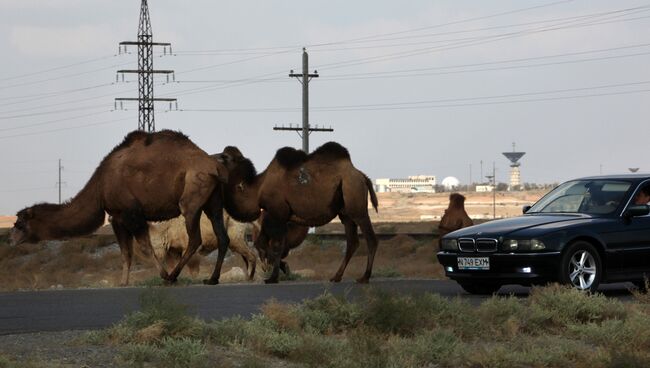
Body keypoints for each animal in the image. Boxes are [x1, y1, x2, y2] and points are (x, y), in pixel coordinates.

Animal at [9, 131, 230, 286]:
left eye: (19, 224)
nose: (11, 239)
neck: (100, 186)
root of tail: (215, 166)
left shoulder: (131, 213)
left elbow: (145, 247)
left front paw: (163, 275)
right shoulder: (117, 217)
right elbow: (126, 252)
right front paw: (123, 282)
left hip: (192, 197)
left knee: (195, 238)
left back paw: (174, 276)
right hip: (213, 200)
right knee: (222, 235)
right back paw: (212, 279)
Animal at [216, 142, 380, 284]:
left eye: (225, 156)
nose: (215, 158)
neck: (257, 190)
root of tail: (362, 176)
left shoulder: (277, 211)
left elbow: (275, 245)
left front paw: (273, 277)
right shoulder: (276, 215)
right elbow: (267, 243)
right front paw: (280, 270)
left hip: (356, 201)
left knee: (370, 238)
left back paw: (364, 277)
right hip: (345, 212)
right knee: (352, 241)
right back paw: (336, 277)